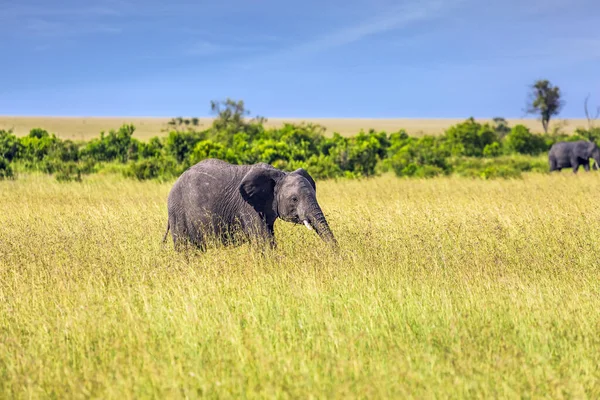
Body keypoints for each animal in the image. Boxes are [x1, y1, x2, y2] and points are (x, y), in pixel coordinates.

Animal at [162, 159, 336, 250]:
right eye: (294, 199)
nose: (337, 257)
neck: (279, 174)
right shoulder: (247, 207)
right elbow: (264, 241)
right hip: (178, 213)